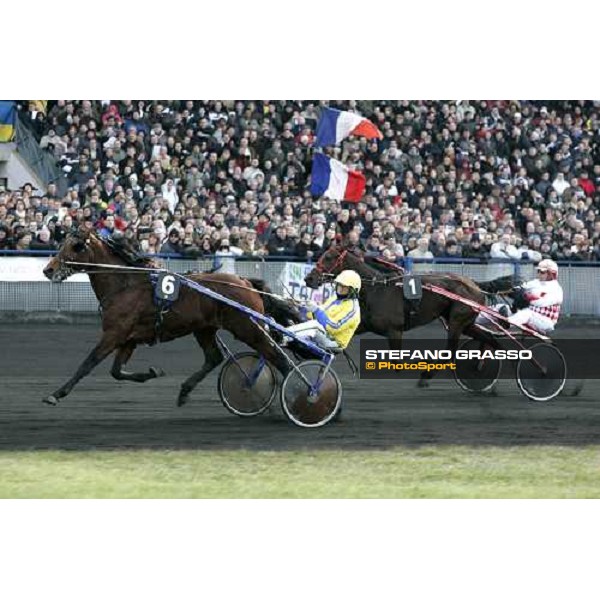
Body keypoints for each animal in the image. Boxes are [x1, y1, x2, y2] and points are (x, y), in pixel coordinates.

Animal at [42, 230, 296, 408]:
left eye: (75, 246)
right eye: (62, 243)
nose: (48, 269)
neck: (125, 285)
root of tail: (245, 281)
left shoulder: (113, 334)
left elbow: (88, 363)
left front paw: (56, 394)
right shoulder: (129, 339)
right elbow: (116, 371)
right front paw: (153, 372)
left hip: (248, 328)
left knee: (278, 358)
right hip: (204, 329)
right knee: (214, 357)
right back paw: (184, 391)